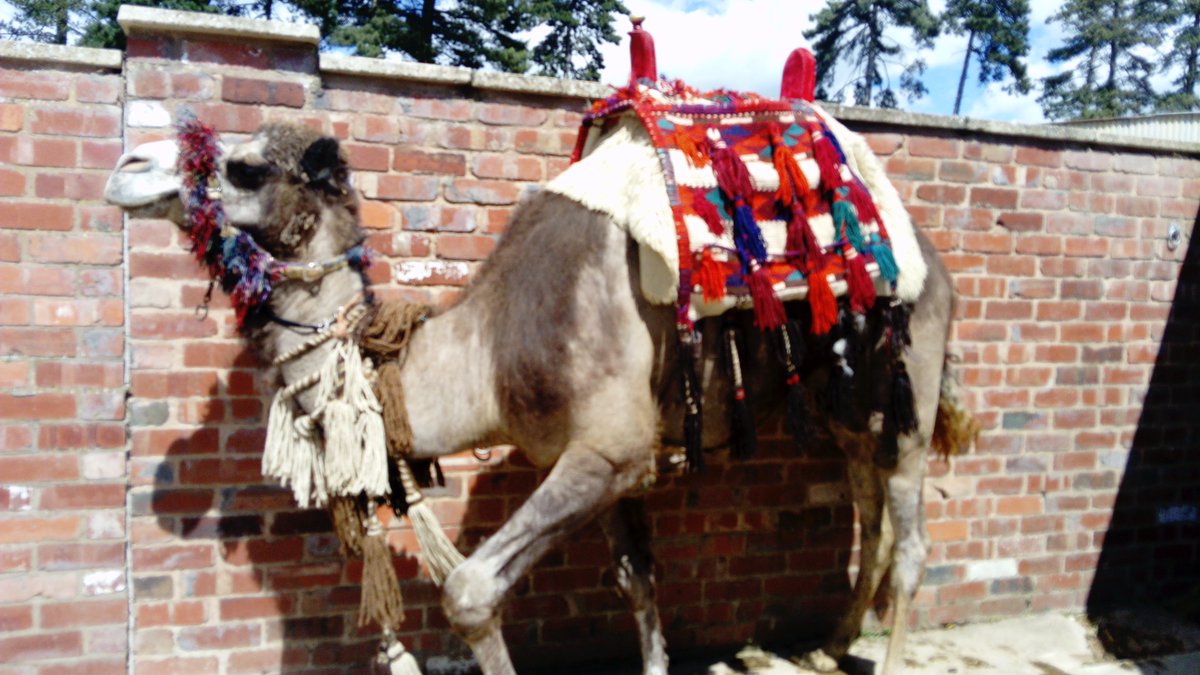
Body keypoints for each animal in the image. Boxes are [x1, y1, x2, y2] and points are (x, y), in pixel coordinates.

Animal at [106, 106, 966, 674]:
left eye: (245, 165)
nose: (128, 168)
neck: (489, 352)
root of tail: (935, 259)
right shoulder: (615, 461)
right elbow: (638, 581)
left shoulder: (607, 451)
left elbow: (469, 591)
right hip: (839, 394)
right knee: (867, 497)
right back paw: (829, 646)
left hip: (912, 362)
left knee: (914, 533)